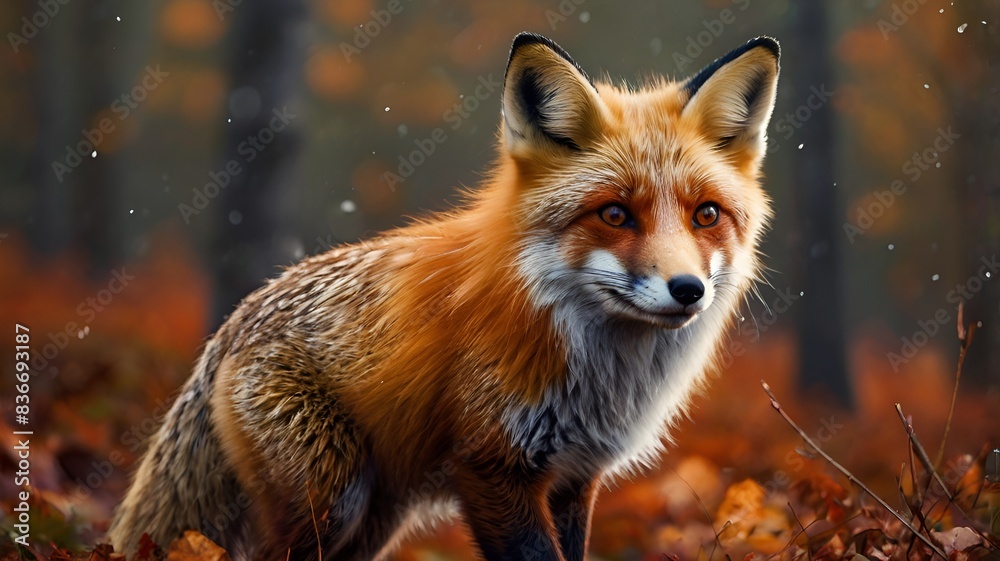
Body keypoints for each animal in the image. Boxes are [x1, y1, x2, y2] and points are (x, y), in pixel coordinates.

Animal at [110, 32, 779, 561]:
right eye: (614, 214)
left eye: (706, 215)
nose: (687, 289)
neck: (600, 373)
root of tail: (234, 322)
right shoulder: (491, 466)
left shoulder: (575, 476)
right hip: (331, 501)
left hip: (373, 520)